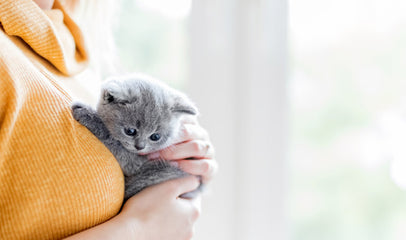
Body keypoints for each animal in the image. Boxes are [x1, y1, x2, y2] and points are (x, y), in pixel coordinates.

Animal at [72, 74, 201, 201]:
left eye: (155, 136)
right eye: (130, 131)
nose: (140, 146)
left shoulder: (136, 163)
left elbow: (113, 141)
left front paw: (86, 113)